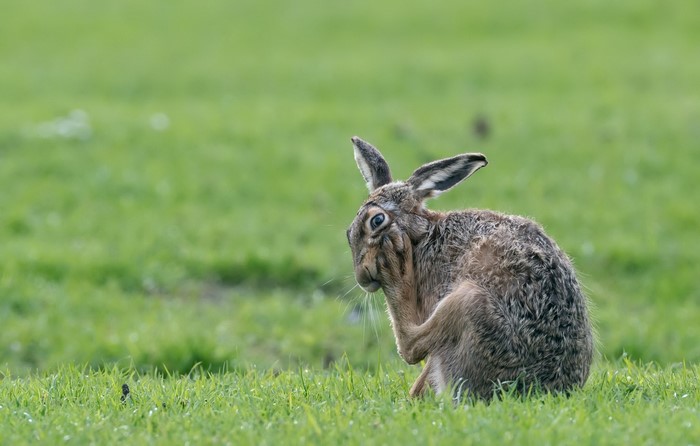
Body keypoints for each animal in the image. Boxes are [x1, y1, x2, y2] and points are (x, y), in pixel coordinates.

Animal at [346, 136, 594, 400]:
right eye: (348, 232)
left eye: (377, 220)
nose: (362, 278)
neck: (421, 235)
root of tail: (546, 389)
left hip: (469, 301)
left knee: (410, 347)